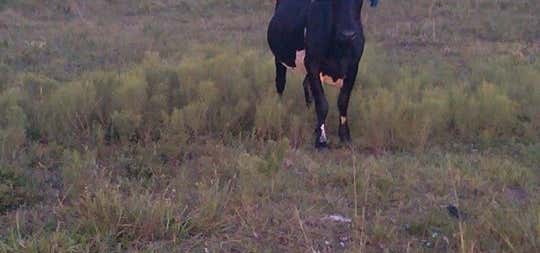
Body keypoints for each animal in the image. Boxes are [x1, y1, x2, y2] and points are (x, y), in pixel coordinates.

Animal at [266, 0, 378, 148]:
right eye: (335, 2)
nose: (348, 34)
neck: (339, 50)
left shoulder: (353, 66)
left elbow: (343, 101)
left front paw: (345, 136)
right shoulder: (312, 63)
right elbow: (322, 103)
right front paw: (321, 139)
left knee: (306, 84)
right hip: (279, 57)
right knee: (280, 83)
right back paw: (279, 108)